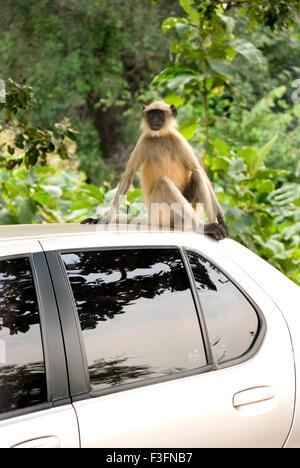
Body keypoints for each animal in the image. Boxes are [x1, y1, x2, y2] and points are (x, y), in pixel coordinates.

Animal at [81, 100, 229, 239]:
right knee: (164, 181)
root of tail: (150, 219)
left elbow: (198, 169)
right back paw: (205, 227)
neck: (160, 137)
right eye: (151, 114)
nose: (155, 120)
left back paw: (210, 227)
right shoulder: (143, 141)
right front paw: (105, 219)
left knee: (197, 174)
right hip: (160, 212)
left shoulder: (178, 139)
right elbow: (128, 177)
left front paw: (222, 218)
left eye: (160, 115)